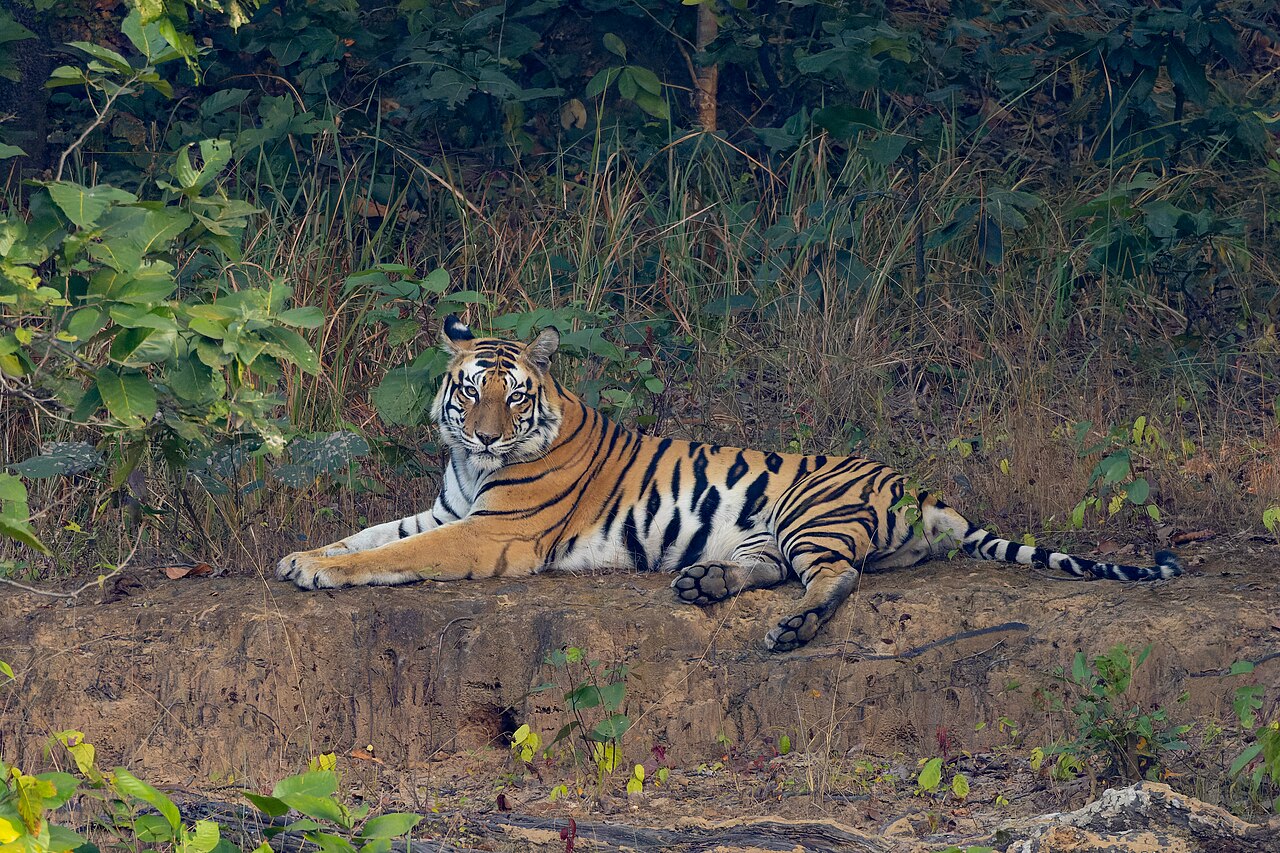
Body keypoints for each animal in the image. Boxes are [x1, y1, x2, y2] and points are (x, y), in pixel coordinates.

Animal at [277, 316, 1182, 652]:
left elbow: (389, 555)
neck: (470, 467)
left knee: (835, 578)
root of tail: (920, 487)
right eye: (469, 391)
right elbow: (370, 534)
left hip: (813, 513)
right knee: (773, 567)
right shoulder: (446, 507)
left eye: (514, 395)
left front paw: (317, 570)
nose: (488, 433)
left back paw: (792, 628)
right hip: (771, 528)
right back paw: (704, 581)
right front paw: (301, 555)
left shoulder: (489, 530)